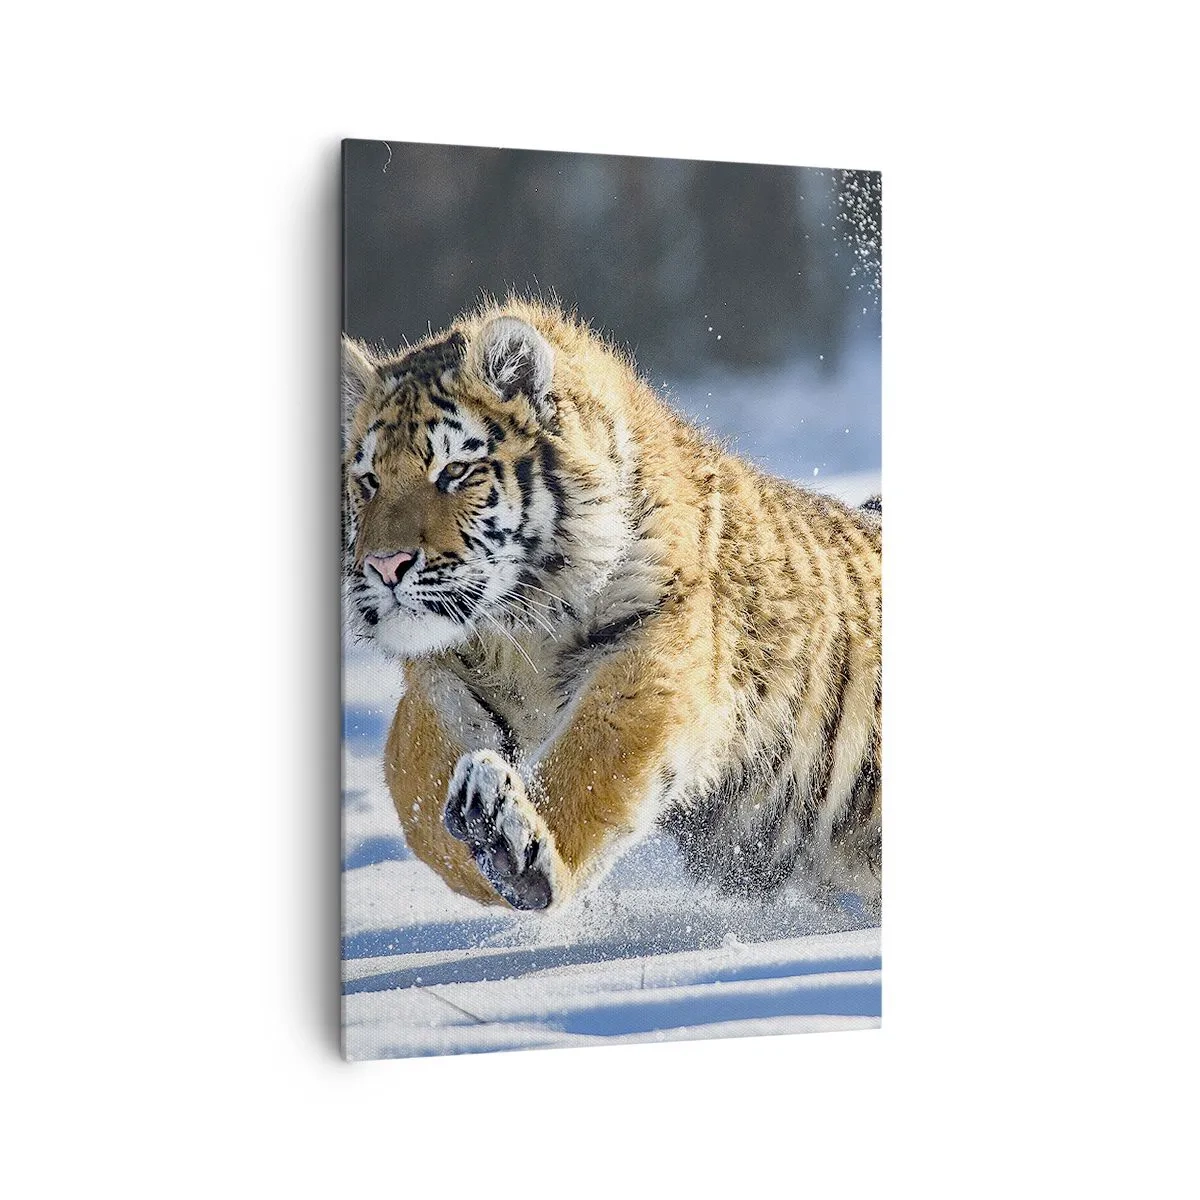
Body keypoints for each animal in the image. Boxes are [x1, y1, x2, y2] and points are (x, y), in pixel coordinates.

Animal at [342, 299, 881, 915]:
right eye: (369, 480)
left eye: (455, 471)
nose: (385, 566)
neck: (516, 625)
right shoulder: (439, 676)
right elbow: (419, 798)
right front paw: (481, 845)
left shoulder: (652, 650)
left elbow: (592, 763)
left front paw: (516, 851)